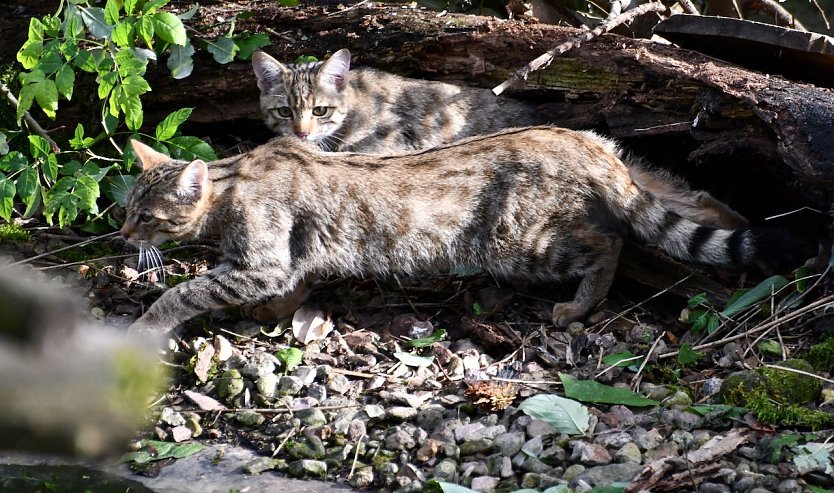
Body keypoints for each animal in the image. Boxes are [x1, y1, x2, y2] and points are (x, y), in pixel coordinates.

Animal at [122, 128, 800, 334]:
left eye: (144, 215)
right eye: (125, 207)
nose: (122, 234)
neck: (236, 178)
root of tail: (581, 140)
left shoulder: (260, 258)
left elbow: (182, 291)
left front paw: (148, 322)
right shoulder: (290, 259)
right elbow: (295, 284)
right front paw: (275, 313)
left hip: (519, 242)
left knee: (608, 244)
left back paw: (578, 307)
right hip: (638, 177)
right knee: (691, 202)